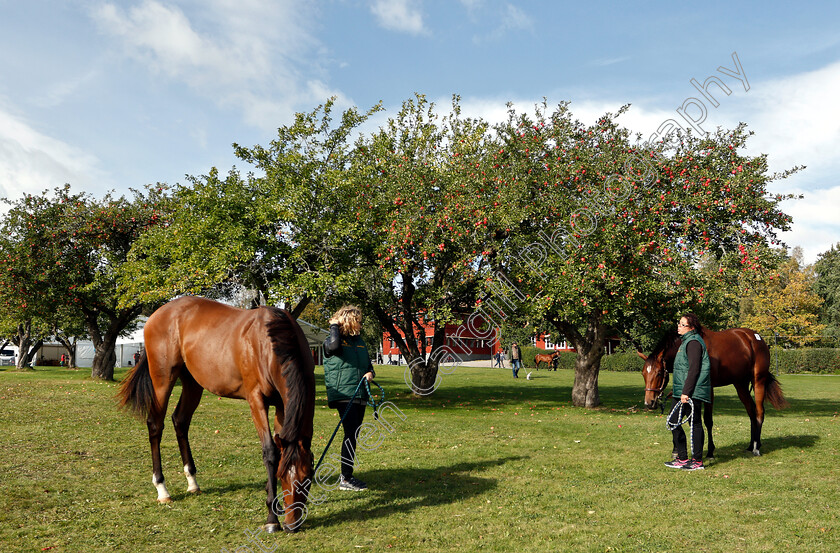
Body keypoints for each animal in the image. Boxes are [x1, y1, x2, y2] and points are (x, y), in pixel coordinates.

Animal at [119, 296, 316, 532]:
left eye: (307, 477)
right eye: (282, 476)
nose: (291, 525)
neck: (270, 342)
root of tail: (158, 313)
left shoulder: (281, 406)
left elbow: (277, 448)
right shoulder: (256, 400)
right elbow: (270, 452)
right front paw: (271, 519)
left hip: (192, 383)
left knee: (180, 421)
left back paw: (192, 482)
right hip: (162, 380)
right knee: (155, 425)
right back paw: (162, 489)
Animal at [640, 328, 792, 458]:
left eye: (659, 373)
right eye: (643, 374)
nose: (649, 402)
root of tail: (755, 338)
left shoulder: (708, 389)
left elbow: (707, 420)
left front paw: (710, 451)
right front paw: (676, 450)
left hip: (758, 381)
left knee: (759, 412)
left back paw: (756, 447)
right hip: (740, 384)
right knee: (751, 412)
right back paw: (751, 445)